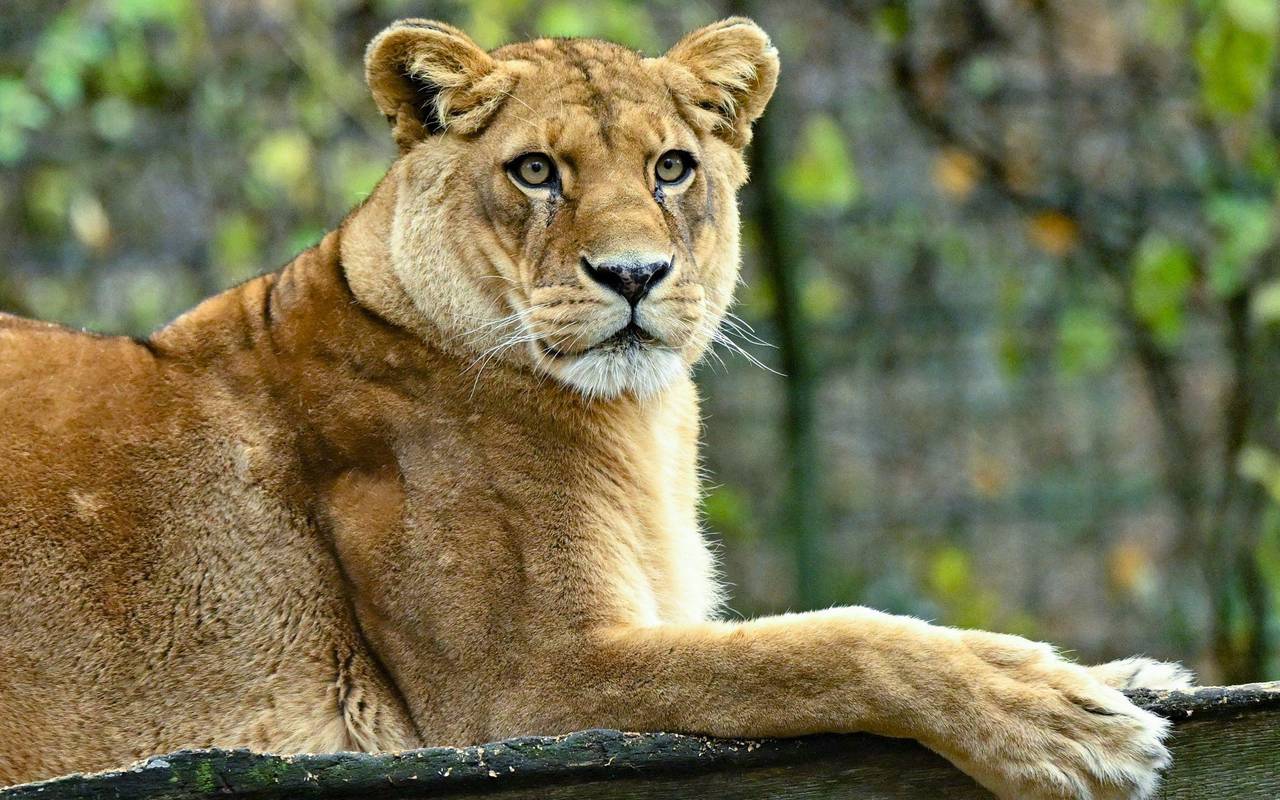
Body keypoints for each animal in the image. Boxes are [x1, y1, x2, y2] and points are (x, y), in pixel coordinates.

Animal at [0, 18, 1192, 799]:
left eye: (671, 168)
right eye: (535, 171)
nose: (632, 274)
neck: (641, 421)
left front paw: (1118, 676)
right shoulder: (525, 682)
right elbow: (820, 644)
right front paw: (1051, 716)